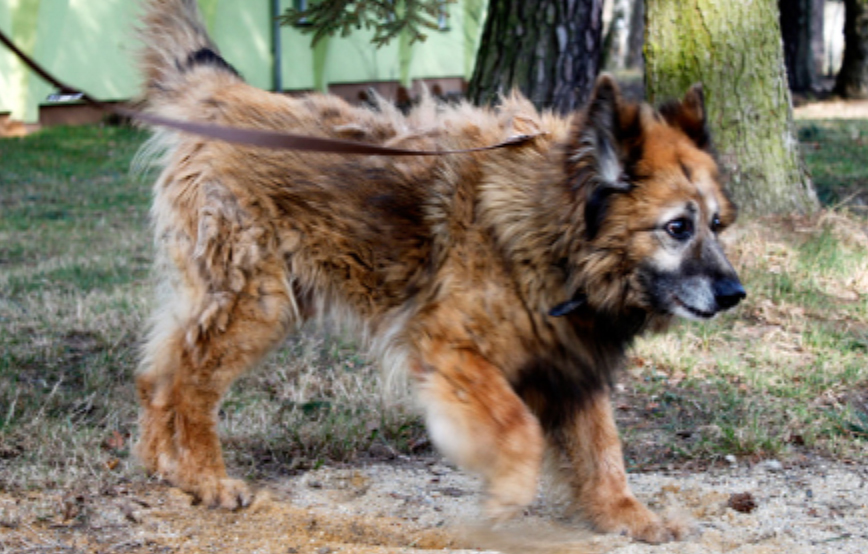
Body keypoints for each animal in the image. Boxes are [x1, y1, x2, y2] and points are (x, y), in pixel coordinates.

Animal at [137, 0, 744, 544]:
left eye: (717, 224)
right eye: (677, 227)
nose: (735, 293)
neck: (549, 231)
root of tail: (227, 97)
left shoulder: (570, 362)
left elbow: (602, 449)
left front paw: (626, 515)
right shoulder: (450, 346)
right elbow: (519, 429)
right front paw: (507, 492)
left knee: (156, 374)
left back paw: (165, 468)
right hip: (255, 305)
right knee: (187, 383)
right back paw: (206, 479)